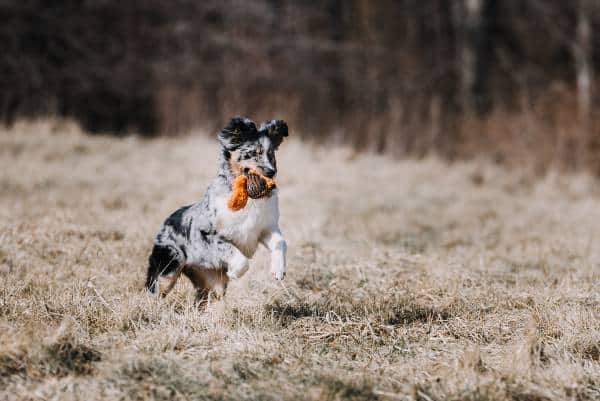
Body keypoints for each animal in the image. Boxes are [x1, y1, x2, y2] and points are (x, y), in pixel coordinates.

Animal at [144, 115, 288, 304]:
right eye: (252, 153)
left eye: (270, 153)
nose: (271, 172)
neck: (248, 199)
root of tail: (165, 223)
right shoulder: (207, 234)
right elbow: (236, 255)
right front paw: (235, 272)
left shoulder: (264, 228)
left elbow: (281, 242)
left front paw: (278, 271)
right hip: (168, 266)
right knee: (154, 290)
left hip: (211, 284)